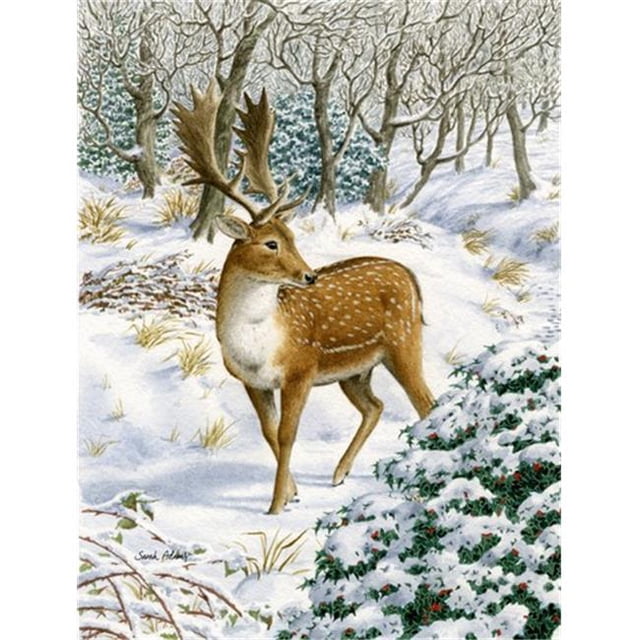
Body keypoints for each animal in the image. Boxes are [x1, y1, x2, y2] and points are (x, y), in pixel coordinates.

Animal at [172, 81, 436, 514]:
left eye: (292, 237)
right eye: (271, 243)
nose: (309, 275)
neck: (259, 343)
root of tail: (410, 278)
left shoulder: (301, 370)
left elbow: (286, 434)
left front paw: (276, 505)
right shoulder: (253, 382)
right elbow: (267, 431)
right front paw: (293, 492)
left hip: (403, 342)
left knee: (426, 403)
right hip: (356, 371)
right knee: (376, 405)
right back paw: (339, 473)